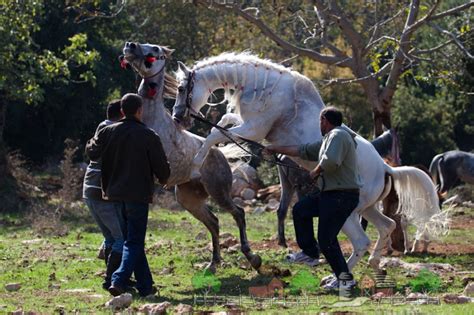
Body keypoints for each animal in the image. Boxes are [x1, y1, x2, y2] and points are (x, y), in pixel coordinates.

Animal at [120, 43, 262, 272]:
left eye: (155, 49)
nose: (129, 46)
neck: (151, 119)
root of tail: (220, 153)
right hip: (189, 199)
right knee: (213, 222)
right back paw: (213, 264)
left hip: (218, 192)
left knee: (238, 213)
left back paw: (252, 257)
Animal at [171, 51, 448, 272]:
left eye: (182, 88)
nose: (177, 118)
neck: (264, 89)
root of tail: (386, 168)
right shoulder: (249, 126)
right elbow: (224, 122)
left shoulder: (254, 129)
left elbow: (215, 133)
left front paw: (197, 163)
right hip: (367, 208)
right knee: (386, 226)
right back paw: (373, 263)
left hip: (349, 213)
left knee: (362, 240)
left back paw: (338, 278)